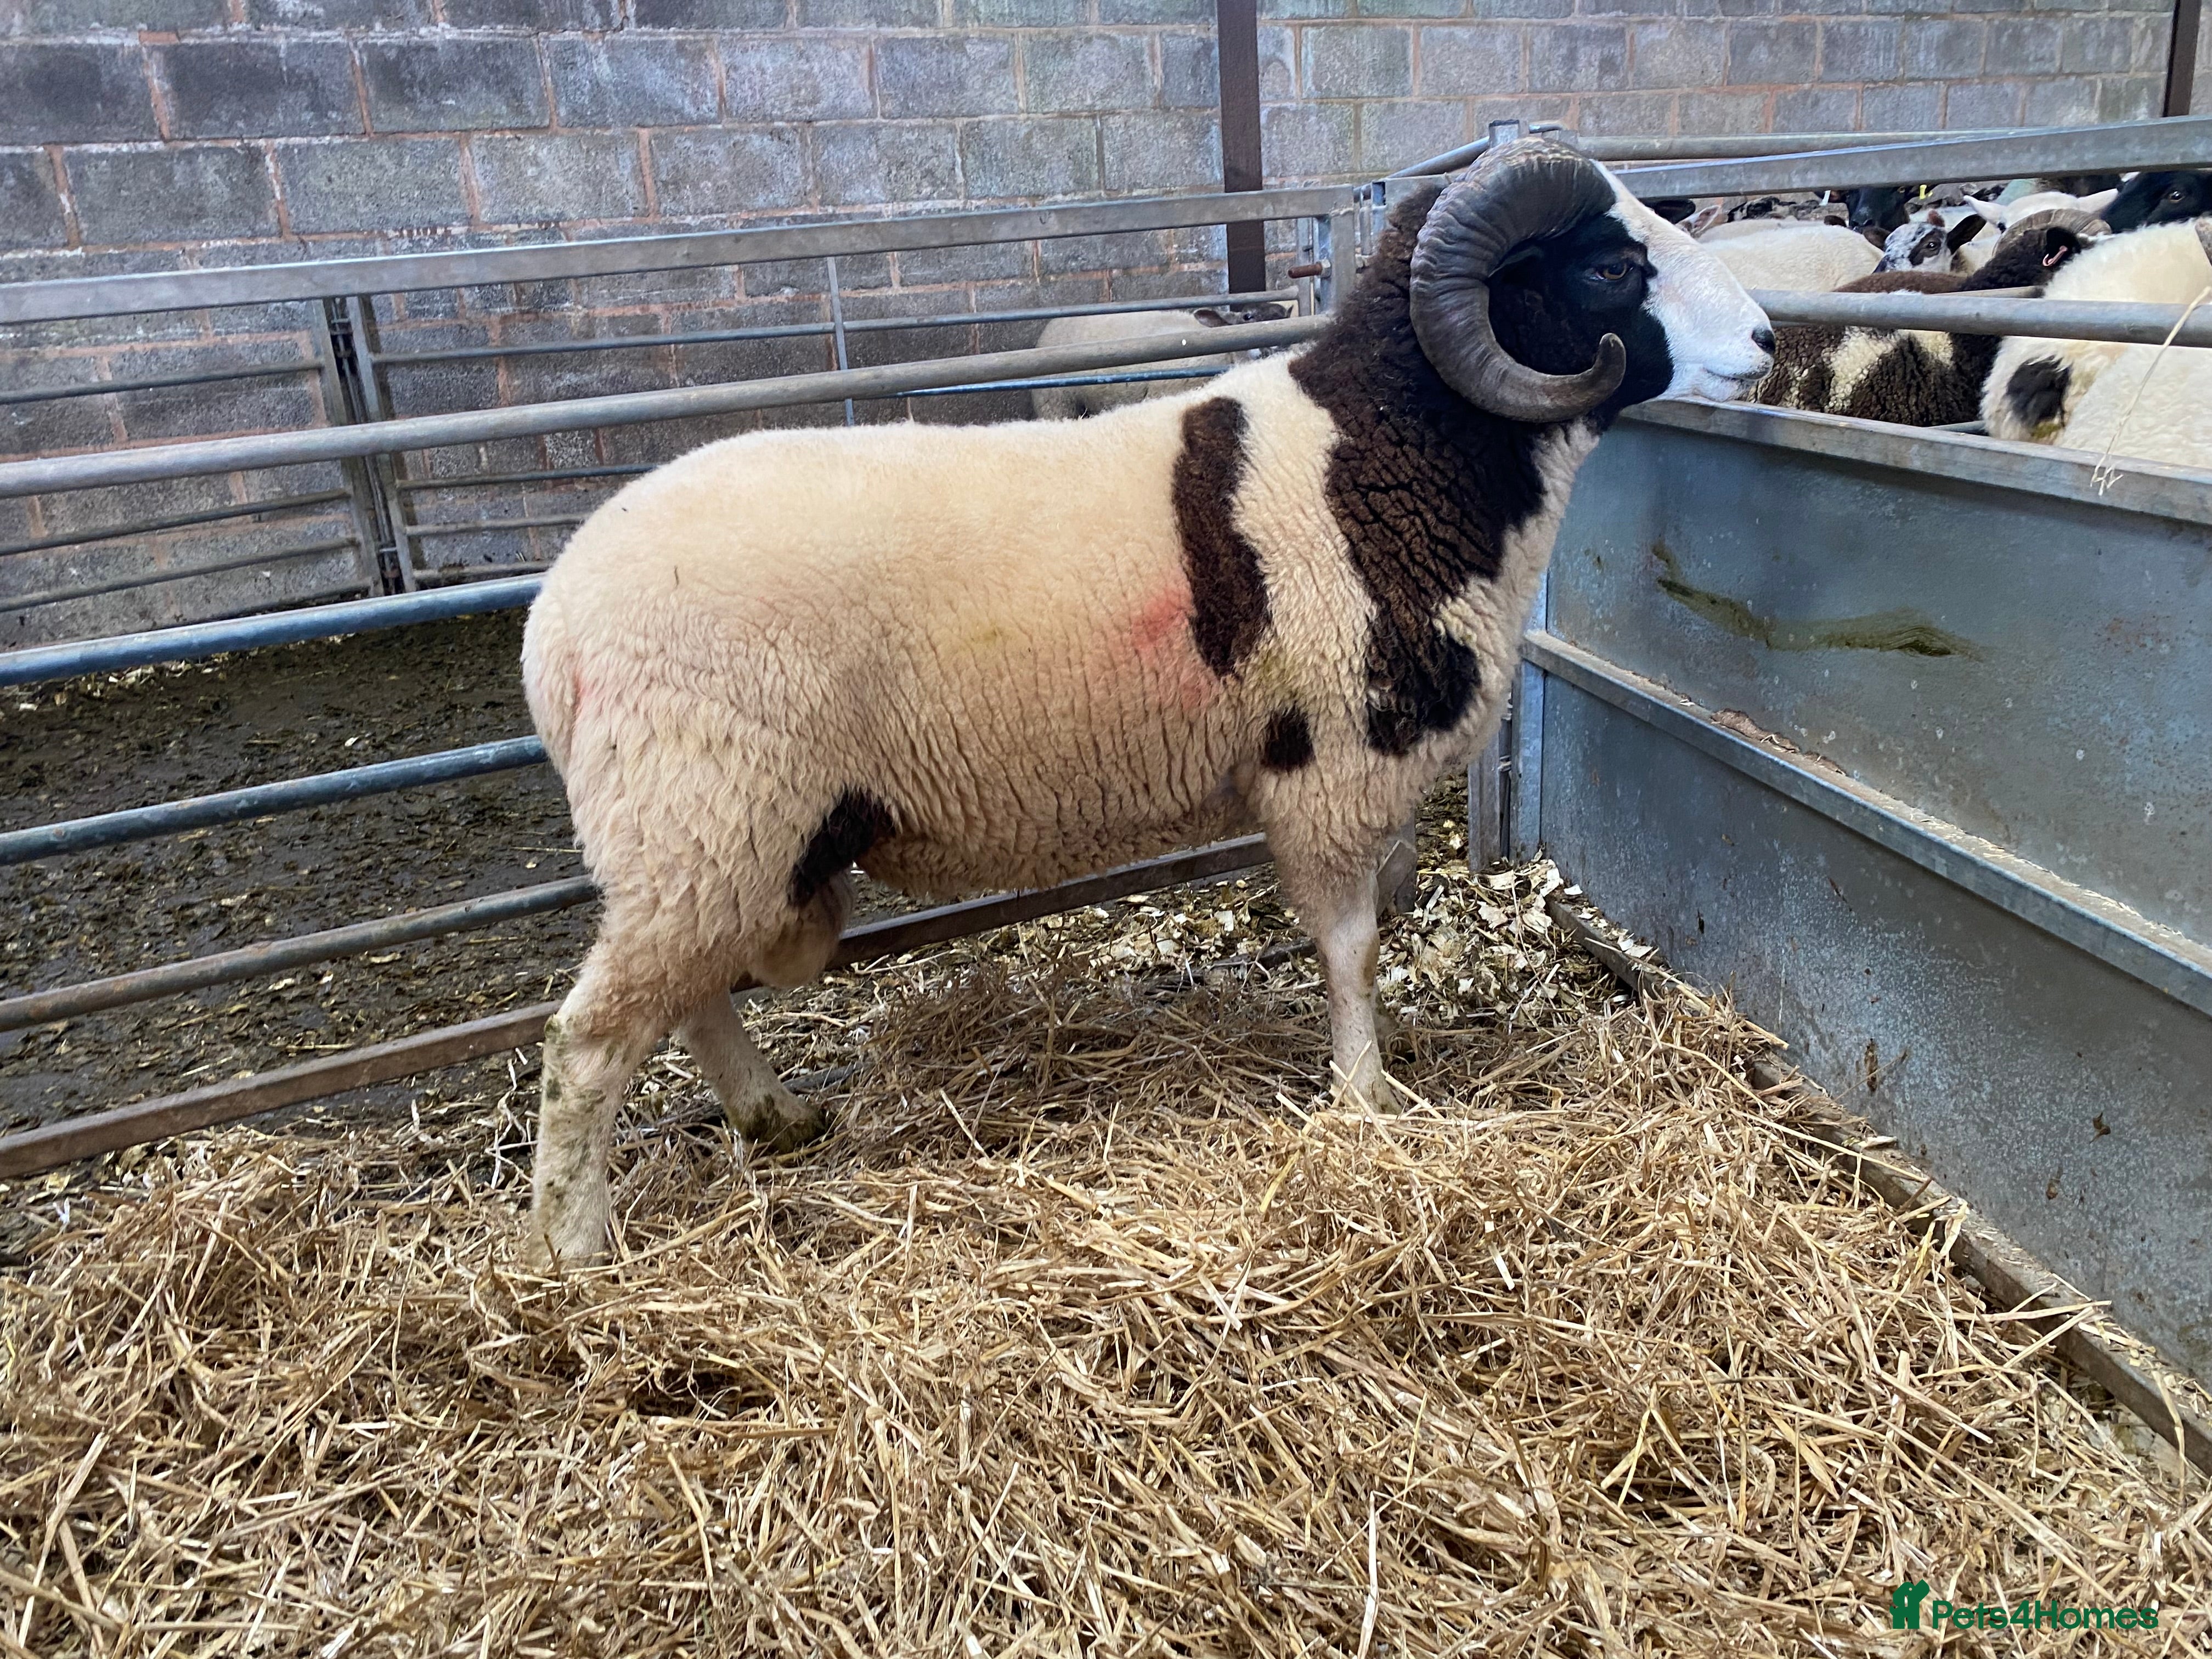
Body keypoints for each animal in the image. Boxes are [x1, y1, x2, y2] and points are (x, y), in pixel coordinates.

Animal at [515, 135, 1775, 1265]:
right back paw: (575, 1254)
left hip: (711, 847)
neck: (1383, 457)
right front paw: (1365, 1098)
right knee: (589, 1044)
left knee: (686, 1000)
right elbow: (1353, 948)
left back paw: (779, 1119)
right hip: (704, 821)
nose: (1767, 340)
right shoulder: (1328, 770)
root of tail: (551, 625)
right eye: (1608, 267)